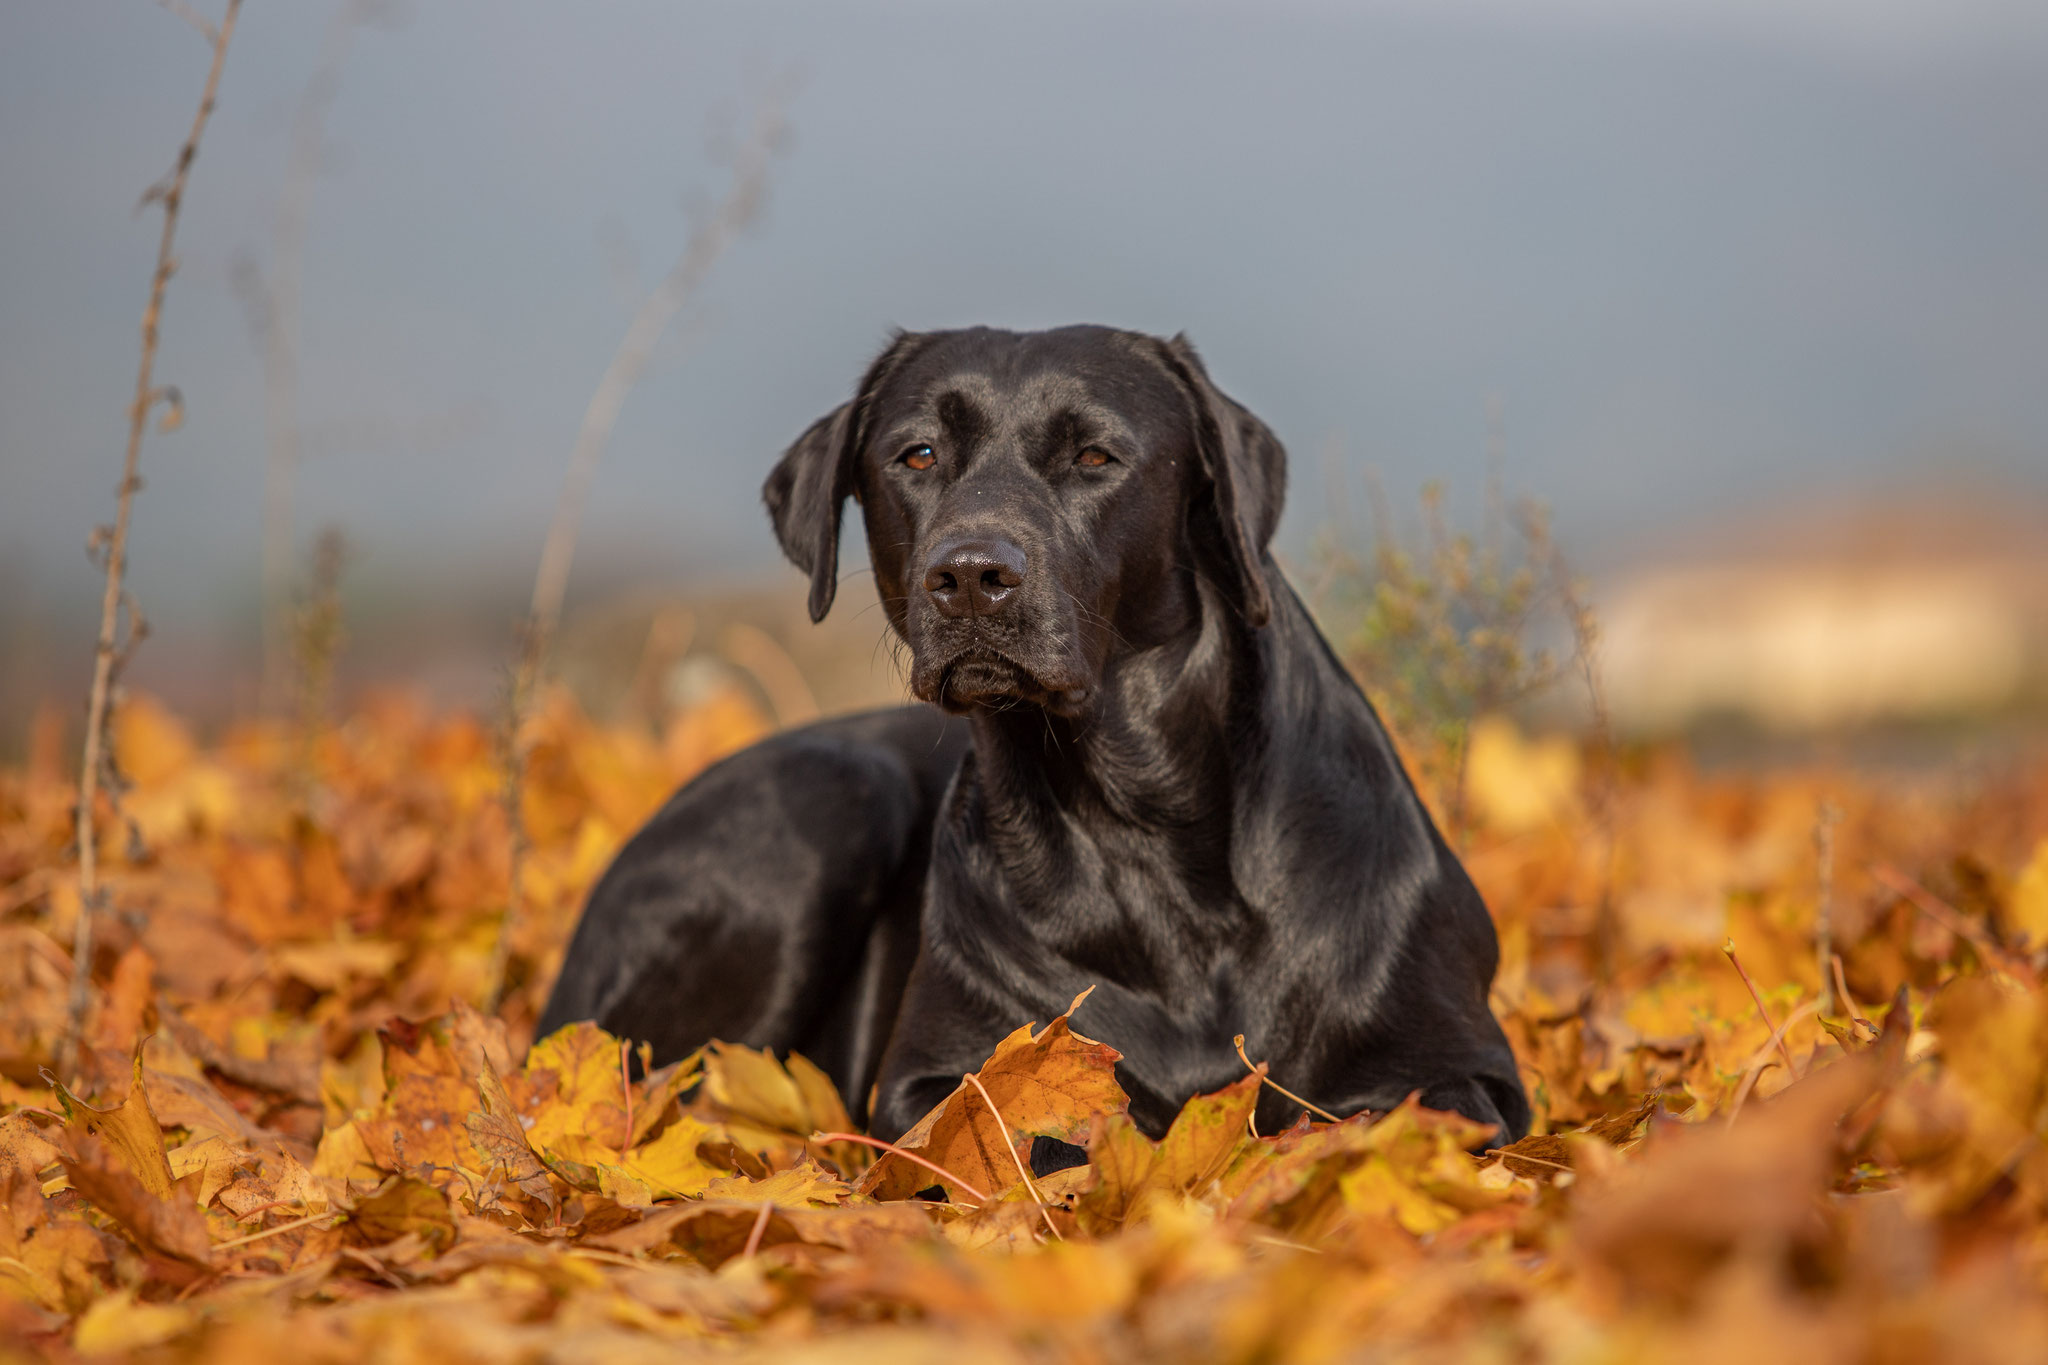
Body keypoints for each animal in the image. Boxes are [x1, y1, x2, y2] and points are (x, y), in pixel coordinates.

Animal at [536, 325, 1531, 1146]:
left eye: (1095, 454)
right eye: (917, 453)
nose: (972, 575)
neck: (1141, 825)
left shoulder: (1469, 1070)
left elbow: (1390, 1112)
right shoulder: (935, 1073)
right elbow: (1029, 1132)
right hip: (828, 801)